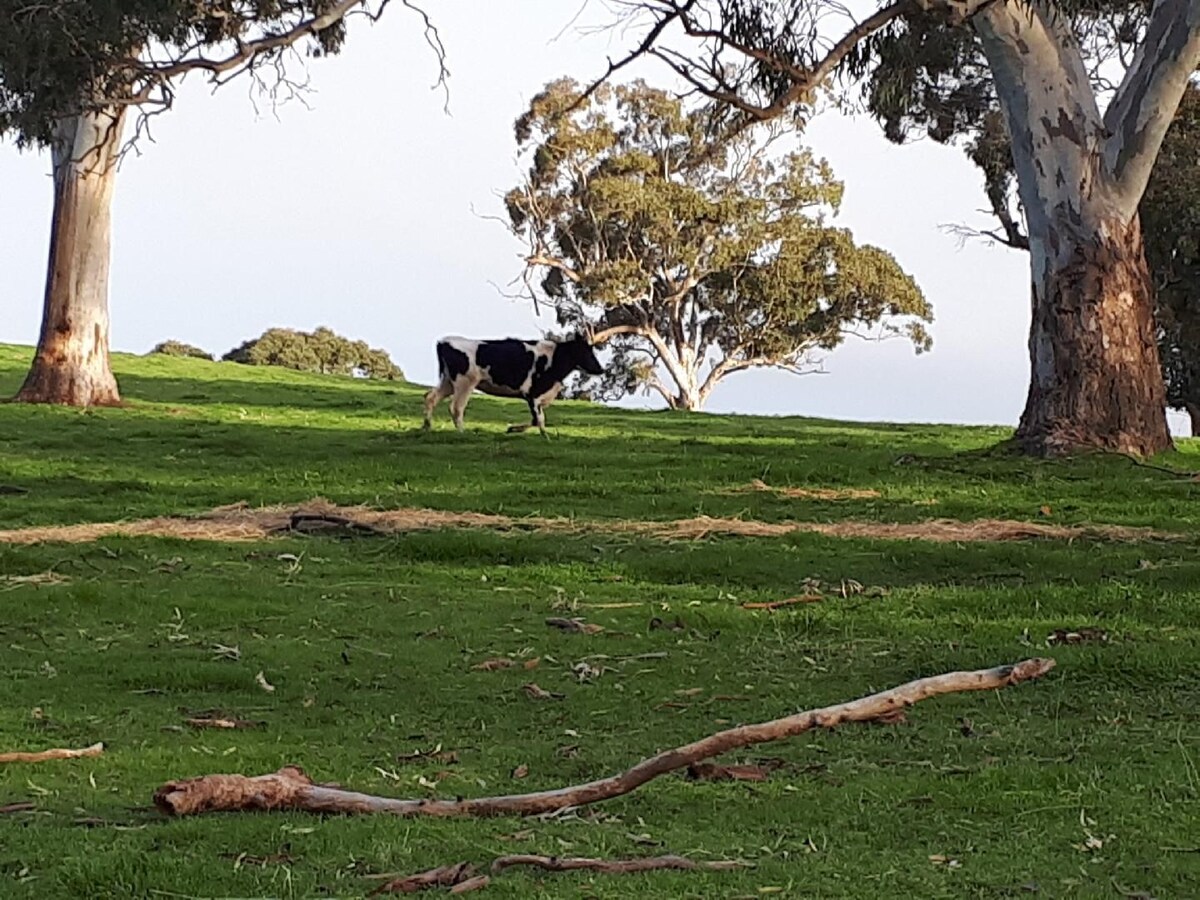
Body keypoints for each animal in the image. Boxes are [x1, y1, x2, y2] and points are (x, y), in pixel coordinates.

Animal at [424, 336, 609, 439]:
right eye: (585, 351)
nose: (600, 369)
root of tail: (443, 341)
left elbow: (537, 419)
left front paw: (513, 429)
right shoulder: (532, 394)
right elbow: (539, 419)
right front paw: (544, 436)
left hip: (448, 381)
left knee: (430, 397)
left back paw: (426, 426)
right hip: (465, 382)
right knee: (456, 407)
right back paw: (462, 432)